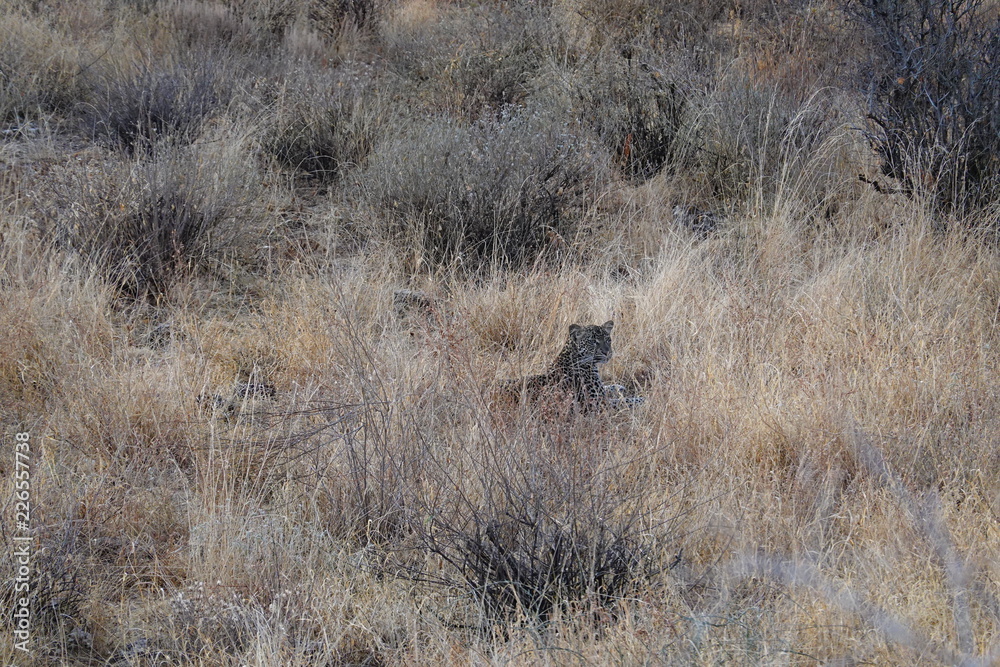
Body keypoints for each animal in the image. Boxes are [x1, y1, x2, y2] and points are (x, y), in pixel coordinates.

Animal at [499, 320, 645, 413]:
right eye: (593, 342)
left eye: (608, 340)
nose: (607, 352)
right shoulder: (598, 403)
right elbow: (625, 402)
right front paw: (643, 400)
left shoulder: (600, 394)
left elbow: (607, 388)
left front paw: (618, 386)